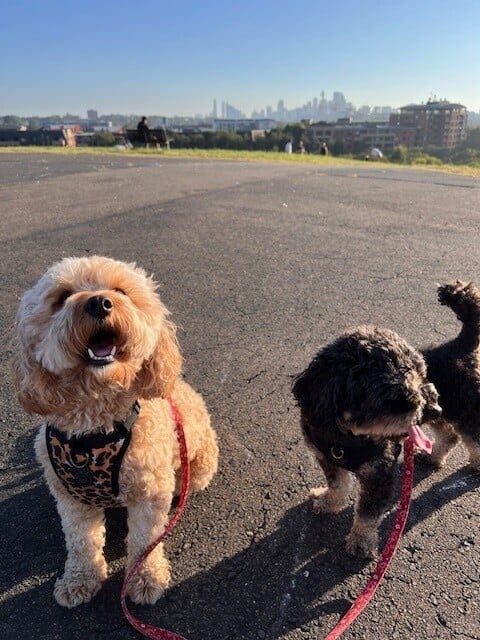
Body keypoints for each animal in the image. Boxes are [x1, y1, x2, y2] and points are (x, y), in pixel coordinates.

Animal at [12, 254, 219, 604]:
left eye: (121, 291)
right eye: (62, 297)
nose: (99, 302)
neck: (96, 422)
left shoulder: (150, 491)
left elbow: (144, 542)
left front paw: (145, 579)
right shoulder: (71, 498)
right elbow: (82, 542)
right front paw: (79, 580)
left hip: (198, 466)